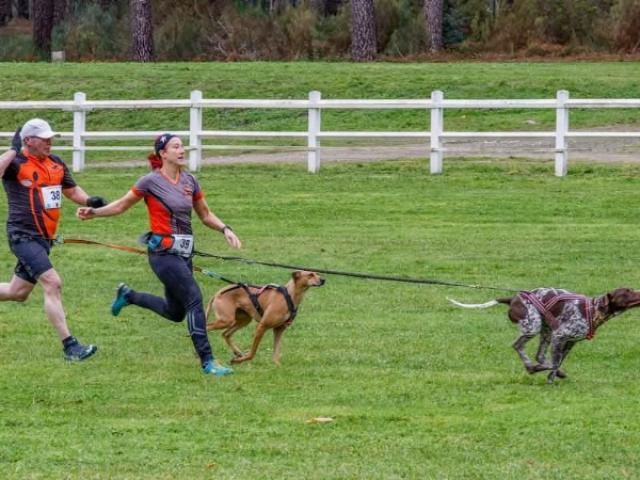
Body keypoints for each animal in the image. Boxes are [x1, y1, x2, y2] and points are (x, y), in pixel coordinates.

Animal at [448, 286, 640, 384]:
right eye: (627, 291)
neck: (593, 310)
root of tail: (513, 298)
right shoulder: (560, 336)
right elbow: (554, 362)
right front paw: (550, 379)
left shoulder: (569, 342)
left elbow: (557, 361)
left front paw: (553, 375)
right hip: (534, 326)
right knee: (519, 347)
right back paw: (531, 367)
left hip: (545, 331)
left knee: (540, 356)